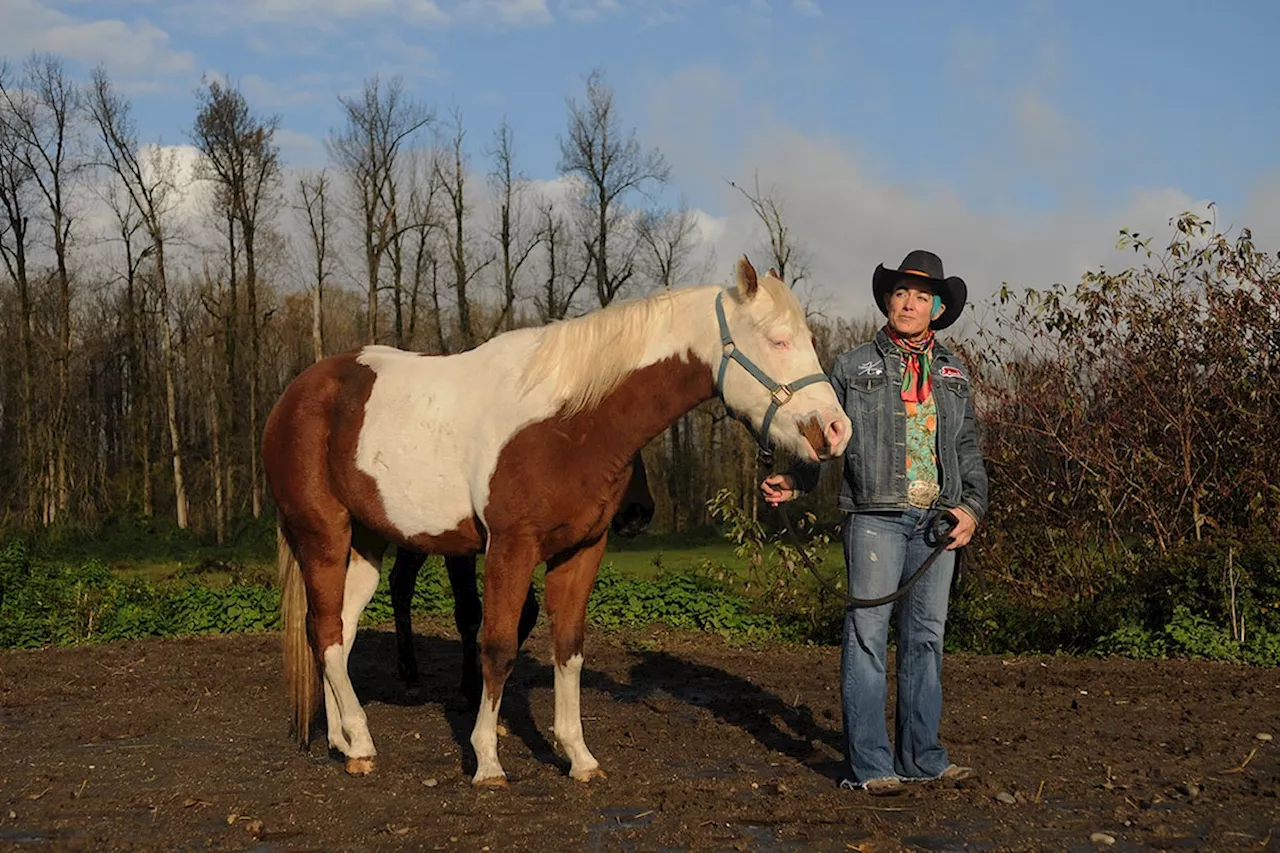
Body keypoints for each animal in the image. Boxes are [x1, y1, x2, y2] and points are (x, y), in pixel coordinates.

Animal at [386, 450, 650, 701]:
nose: (638, 514)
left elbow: (527, 613)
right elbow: (469, 612)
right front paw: (470, 687)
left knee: (400, 580)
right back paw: (409, 672)